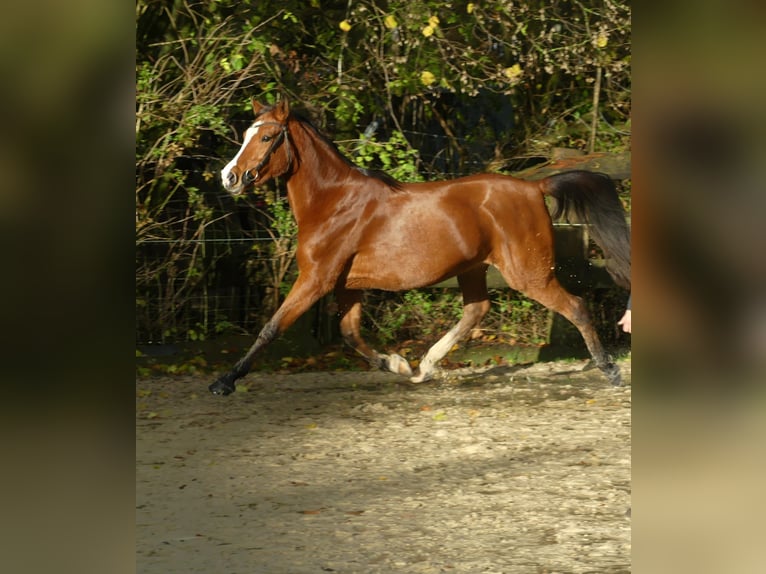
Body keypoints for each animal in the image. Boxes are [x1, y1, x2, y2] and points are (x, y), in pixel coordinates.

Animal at [208, 99, 632, 396]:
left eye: (266, 137)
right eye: (246, 135)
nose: (229, 177)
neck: (332, 202)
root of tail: (534, 187)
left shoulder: (317, 279)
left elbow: (272, 327)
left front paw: (224, 381)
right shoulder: (346, 284)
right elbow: (350, 334)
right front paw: (398, 364)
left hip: (528, 273)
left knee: (576, 306)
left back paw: (610, 370)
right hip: (474, 268)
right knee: (476, 310)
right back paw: (425, 366)